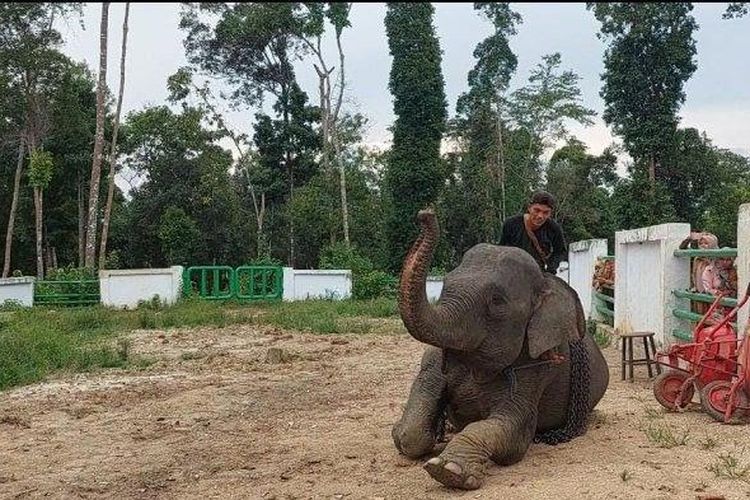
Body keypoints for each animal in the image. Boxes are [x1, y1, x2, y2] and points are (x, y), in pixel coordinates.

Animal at [394, 209, 612, 490]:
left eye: (497, 302)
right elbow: (412, 433)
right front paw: (400, 432)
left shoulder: (537, 366)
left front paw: (448, 470)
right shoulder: (431, 361)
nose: (426, 213)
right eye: (445, 283)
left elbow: (512, 430)